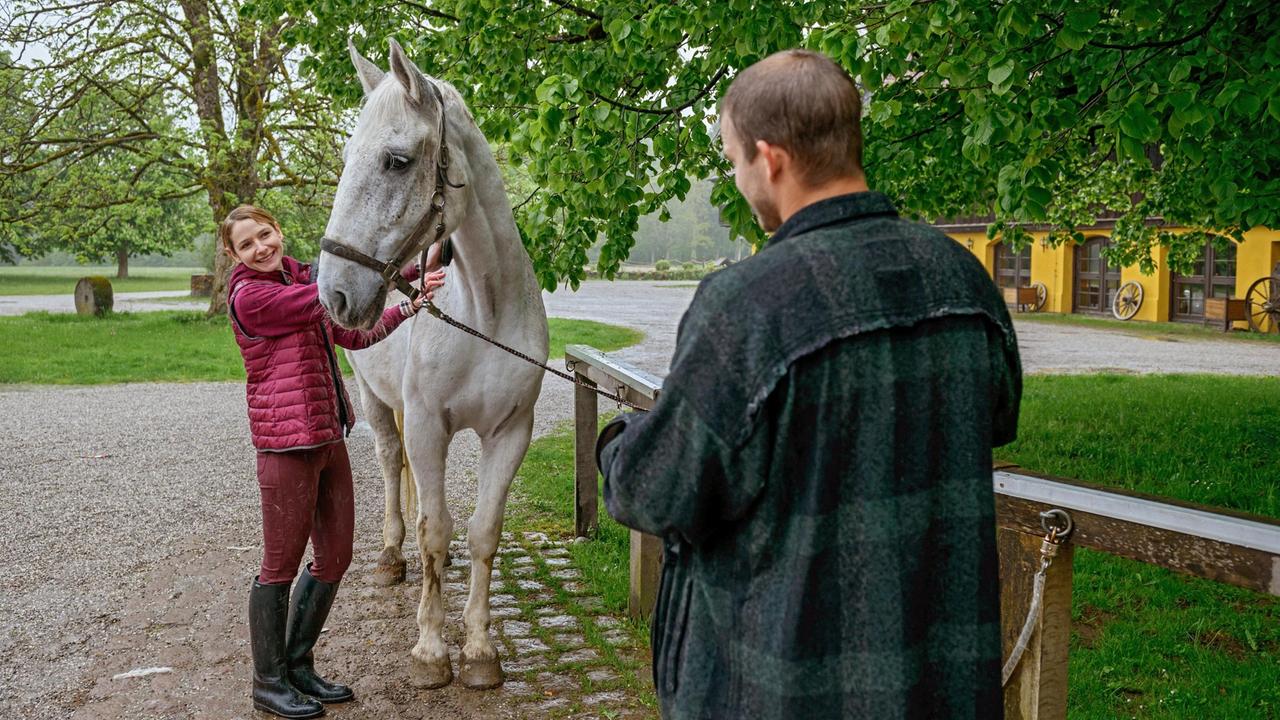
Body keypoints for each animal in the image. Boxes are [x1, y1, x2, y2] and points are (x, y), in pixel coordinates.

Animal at [317, 40, 547, 691]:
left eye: (396, 161)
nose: (334, 292)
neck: (485, 314)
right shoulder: (426, 427)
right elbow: (436, 532)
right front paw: (429, 651)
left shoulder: (510, 433)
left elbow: (482, 532)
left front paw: (480, 650)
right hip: (375, 400)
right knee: (393, 467)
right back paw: (392, 557)